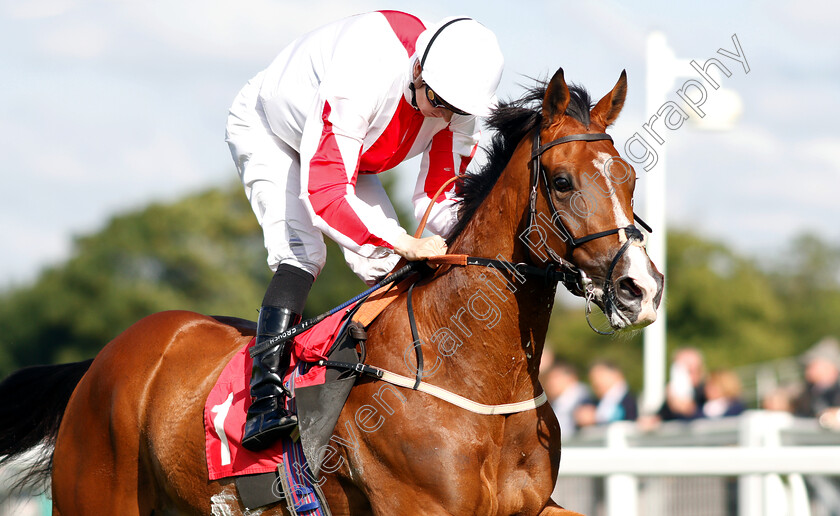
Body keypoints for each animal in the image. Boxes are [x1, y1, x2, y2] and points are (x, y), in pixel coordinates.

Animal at [0, 68, 664, 516]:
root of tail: (101, 363)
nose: (641, 287)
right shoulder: (421, 506)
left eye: (631, 177)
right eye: (562, 180)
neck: (470, 377)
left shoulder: (533, 504)